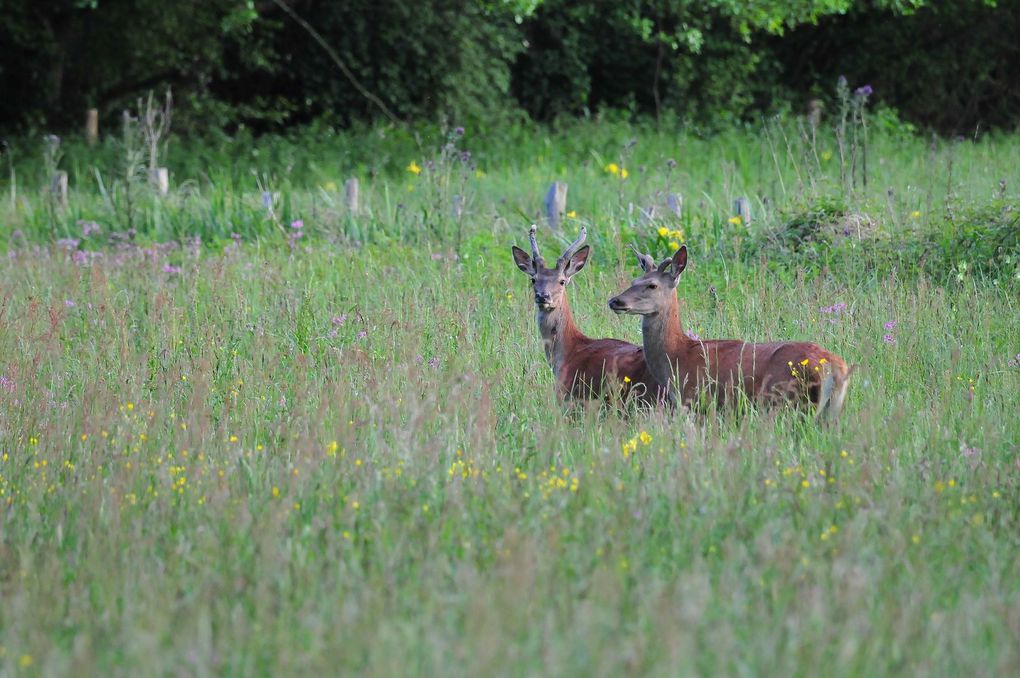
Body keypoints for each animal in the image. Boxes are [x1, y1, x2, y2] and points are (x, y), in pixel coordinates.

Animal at [603, 245, 852, 420]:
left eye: (652, 285)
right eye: (634, 280)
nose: (615, 301)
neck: (677, 357)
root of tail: (835, 367)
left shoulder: (696, 401)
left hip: (787, 402)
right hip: (831, 409)